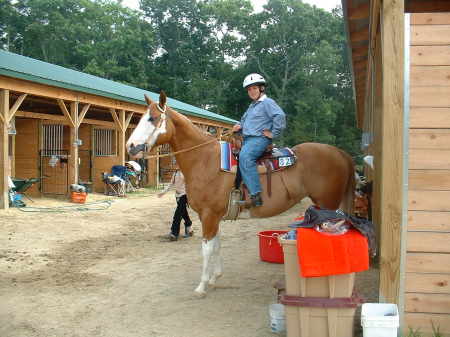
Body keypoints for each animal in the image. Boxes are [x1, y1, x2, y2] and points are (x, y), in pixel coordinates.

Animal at [126, 90, 356, 296]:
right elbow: (216, 244)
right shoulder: (213, 216)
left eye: (152, 118)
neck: (205, 160)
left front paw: (201, 286)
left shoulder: (209, 215)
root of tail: (341, 153)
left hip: (328, 206)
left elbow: (206, 249)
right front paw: (214, 277)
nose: (130, 146)